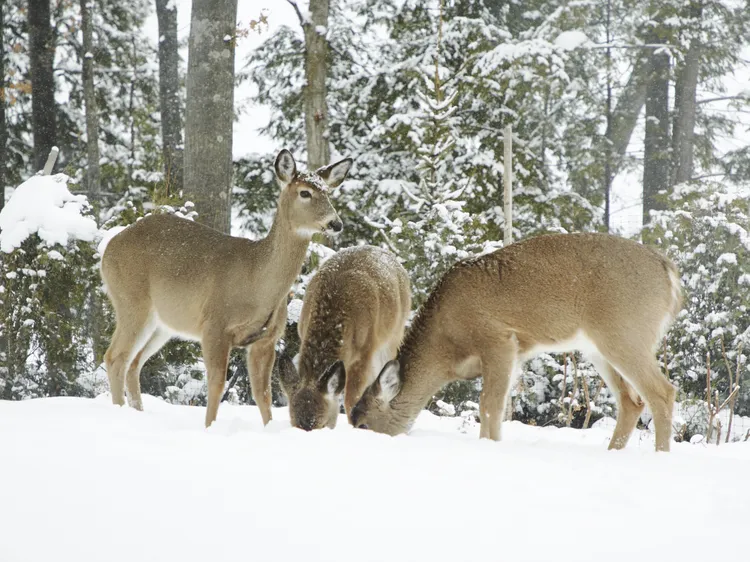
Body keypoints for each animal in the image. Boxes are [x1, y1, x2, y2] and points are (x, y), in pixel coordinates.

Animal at [100, 149, 352, 428]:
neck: (257, 282)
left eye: (328, 192)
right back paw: (119, 412)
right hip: (131, 300)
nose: (336, 223)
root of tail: (108, 248)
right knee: (115, 357)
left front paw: (269, 428)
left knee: (134, 363)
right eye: (305, 193)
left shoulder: (266, 339)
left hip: (162, 324)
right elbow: (217, 384)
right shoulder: (215, 325)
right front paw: (210, 427)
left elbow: (262, 394)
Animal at [350, 233, 683, 452]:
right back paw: (613, 452)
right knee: (631, 401)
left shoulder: (498, 340)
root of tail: (669, 271)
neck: (446, 346)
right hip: (597, 347)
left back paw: (660, 455)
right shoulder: (515, 354)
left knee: (662, 392)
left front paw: (490, 446)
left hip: (625, 332)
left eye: (364, 424)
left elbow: (489, 404)